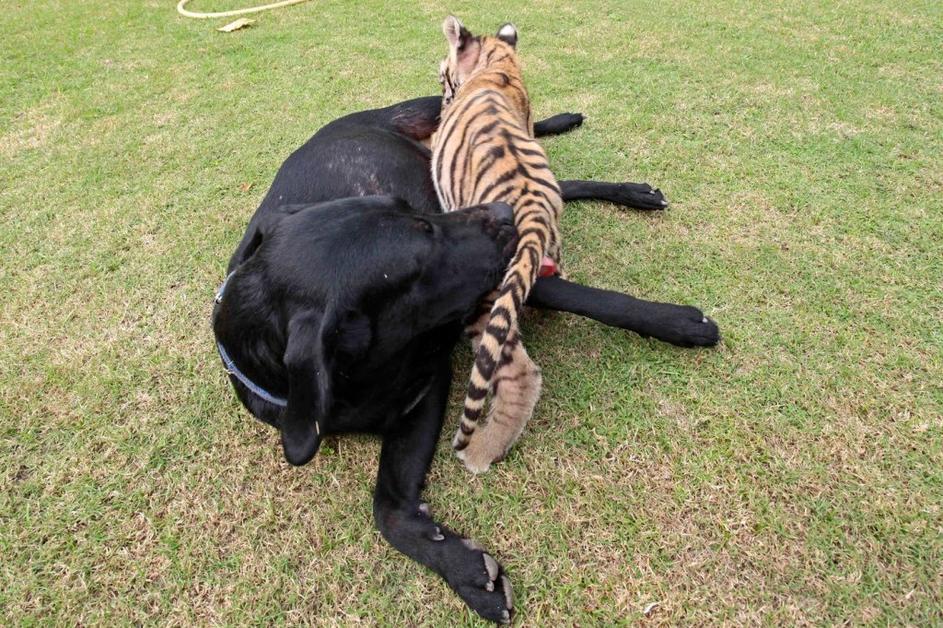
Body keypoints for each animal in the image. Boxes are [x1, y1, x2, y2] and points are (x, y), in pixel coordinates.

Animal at [431, 16, 564, 474]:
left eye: (443, 75)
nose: (440, 93)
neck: (500, 64)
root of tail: (534, 213)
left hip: (486, 299)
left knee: (519, 373)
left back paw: (479, 452)